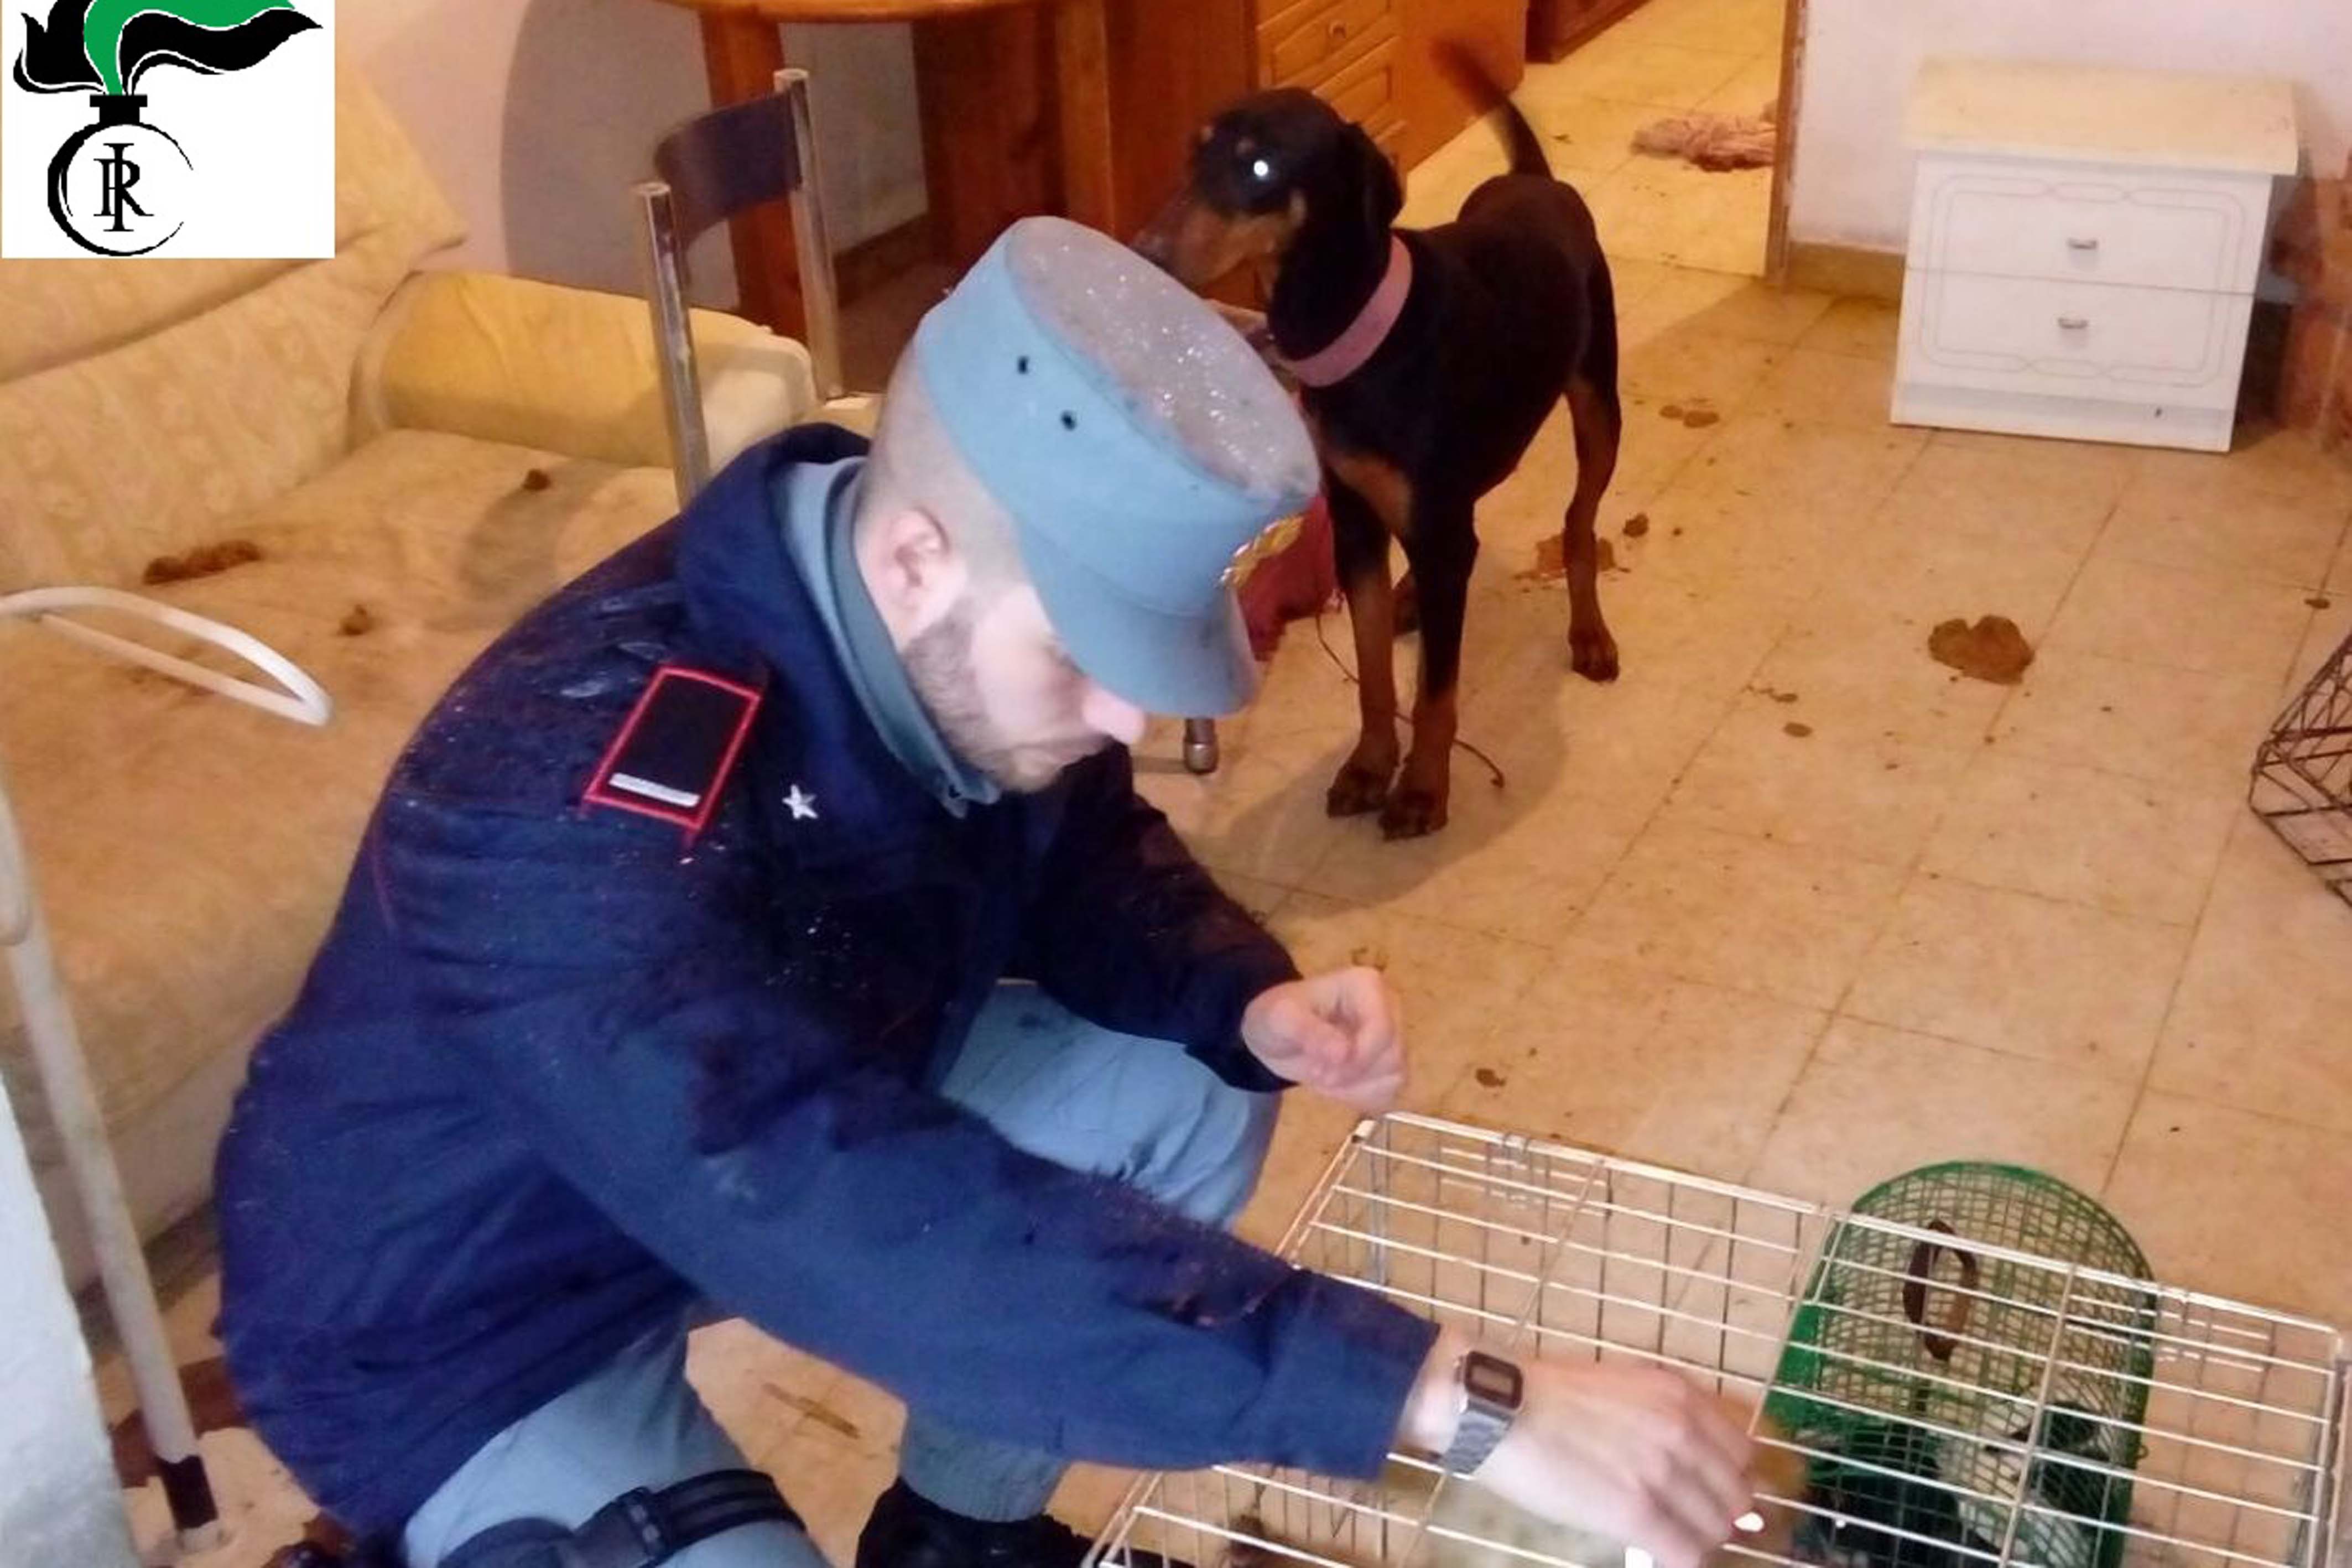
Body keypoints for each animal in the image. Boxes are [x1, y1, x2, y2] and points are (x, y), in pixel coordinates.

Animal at [1137, 48, 1622, 839]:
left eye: (1261, 167)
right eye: (1193, 150)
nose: (1145, 252)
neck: (1359, 332)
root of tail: (1535, 179)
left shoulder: (1430, 523)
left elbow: (1435, 692)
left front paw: (1422, 789)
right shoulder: (1356, 524)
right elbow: (1371, 673)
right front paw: (1368, 768)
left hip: (1597, 407)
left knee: (1579, 522)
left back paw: (1588, 633)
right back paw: (1411, 599)